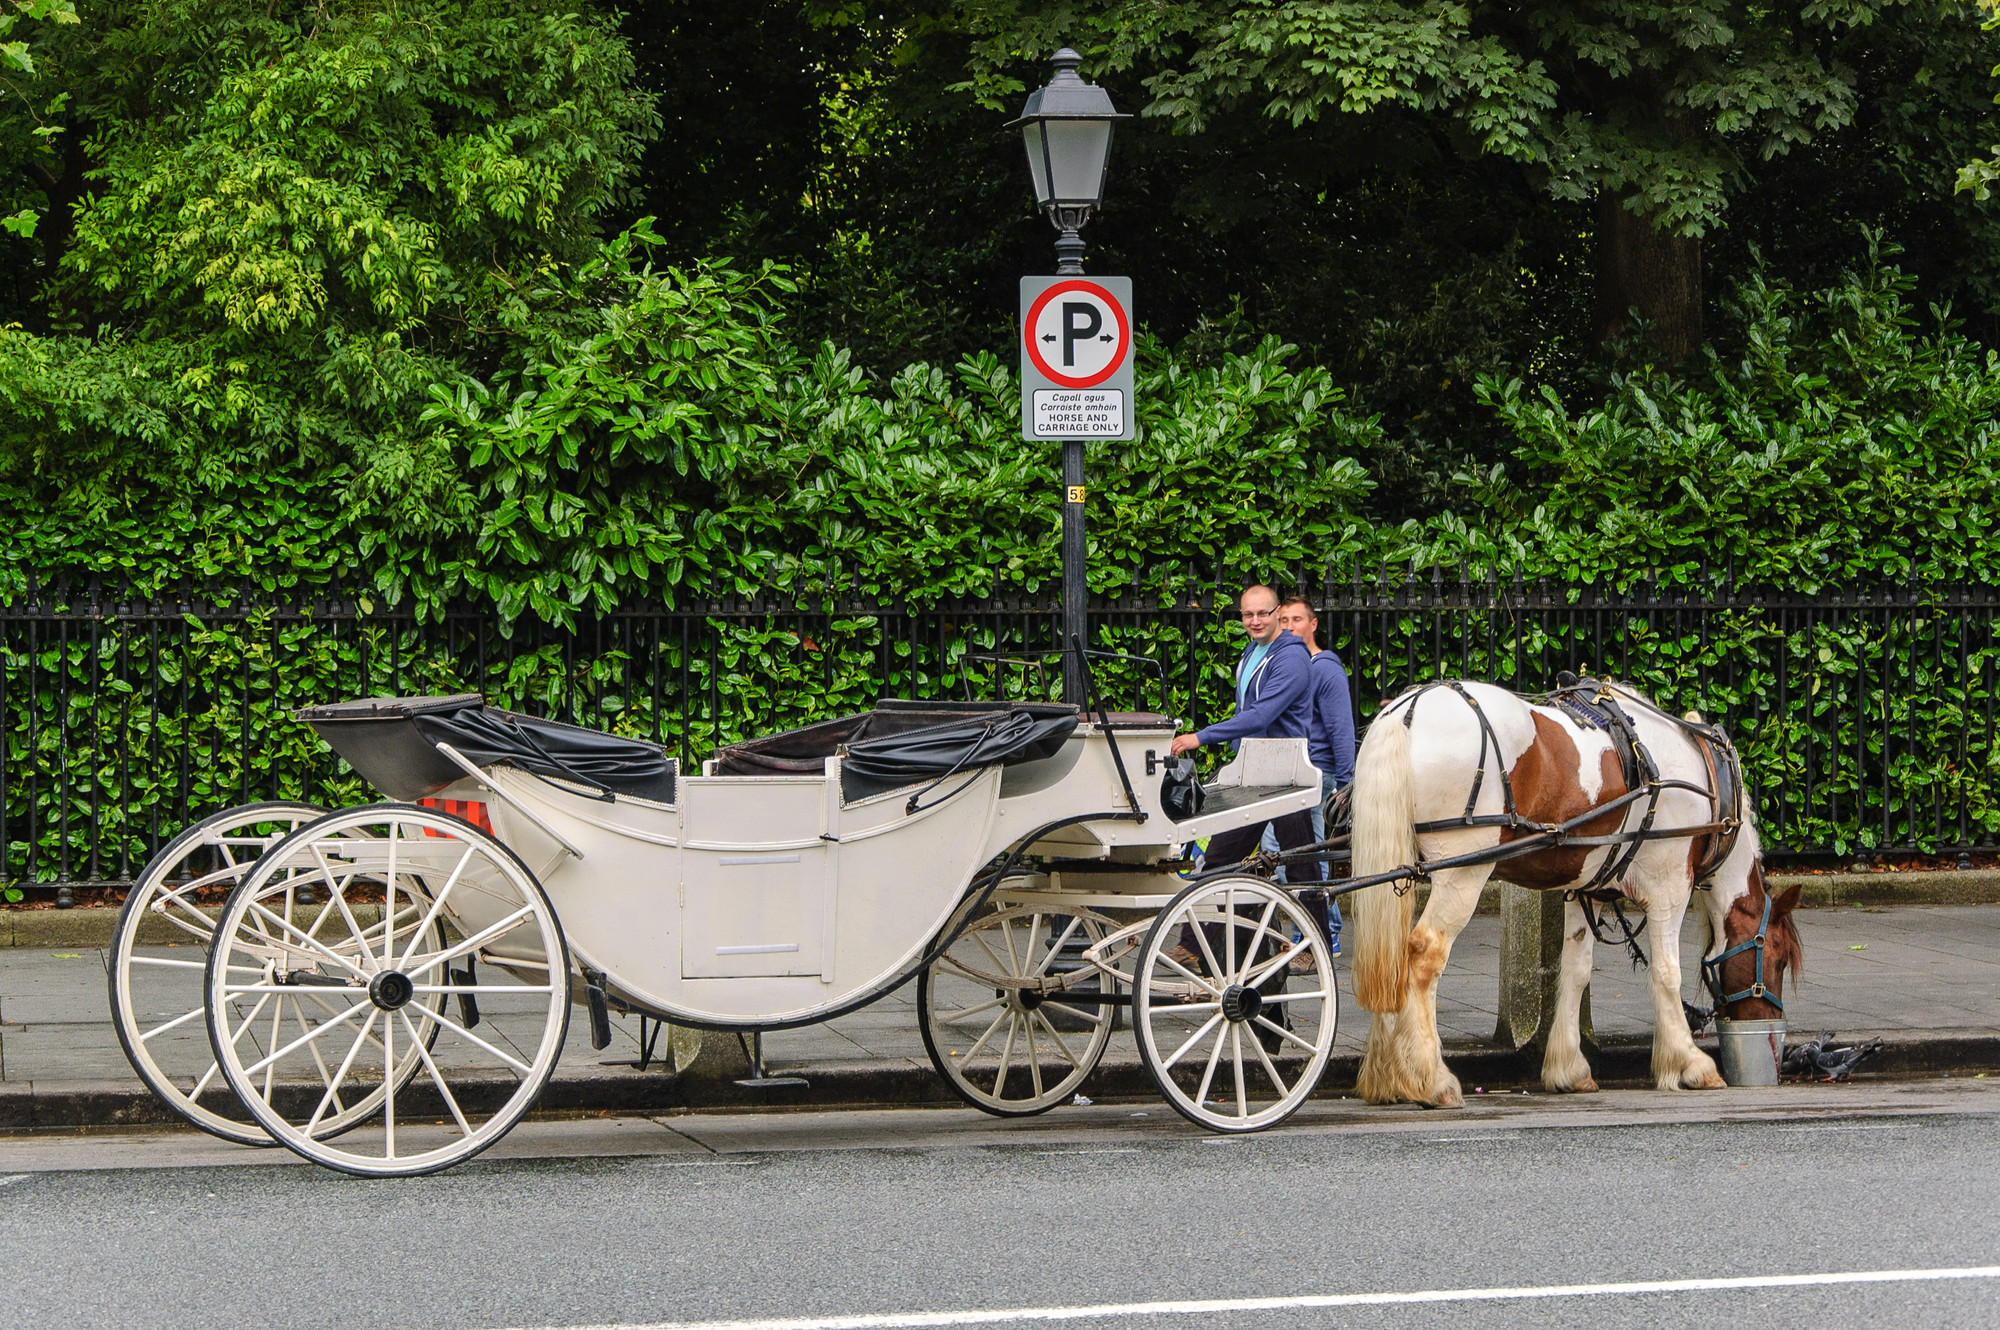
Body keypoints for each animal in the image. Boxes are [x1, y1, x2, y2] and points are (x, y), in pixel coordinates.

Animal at [1352, 680, 1808, 1104]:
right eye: (1779, 957)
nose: (1772, 1036)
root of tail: (1407, 711)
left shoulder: (1585, 891)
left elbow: (1574, 970)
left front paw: (1568, 1067)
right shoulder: (1670, 886)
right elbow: (1667, 973)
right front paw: (1690, 1063)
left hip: (1399, 870)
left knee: (1390, 958)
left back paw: (1388, 1077)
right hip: (1463, 872)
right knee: (1423, 955)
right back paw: (1431, 1078)